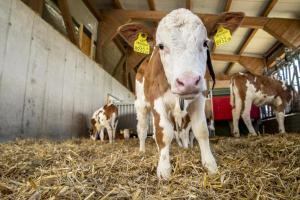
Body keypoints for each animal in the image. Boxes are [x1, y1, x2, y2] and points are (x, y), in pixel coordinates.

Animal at [117, 8, 244, 180]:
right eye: (161, 46)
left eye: (205, 43)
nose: (188, 81)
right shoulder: (157, 100)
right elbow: (163, 133)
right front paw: (164, 169)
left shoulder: (199, 98)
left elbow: (201, 130)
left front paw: (210, 165)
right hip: (141, 104)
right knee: (142, 128)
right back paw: (142, 151)